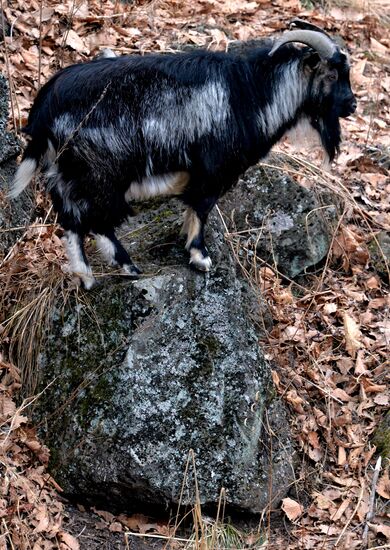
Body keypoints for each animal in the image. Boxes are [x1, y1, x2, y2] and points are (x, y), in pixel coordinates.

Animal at [9, 20, 356, 288]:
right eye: (332, 74)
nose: (352, 105)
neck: (252, 93)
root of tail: (45, 107)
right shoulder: (214, 170)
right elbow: (201, 208)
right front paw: (199, 256)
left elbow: (192, 207)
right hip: (100, 173)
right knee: (96, 220)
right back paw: (127, 267)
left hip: (65, 174)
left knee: (70, 221)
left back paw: (87, 278)